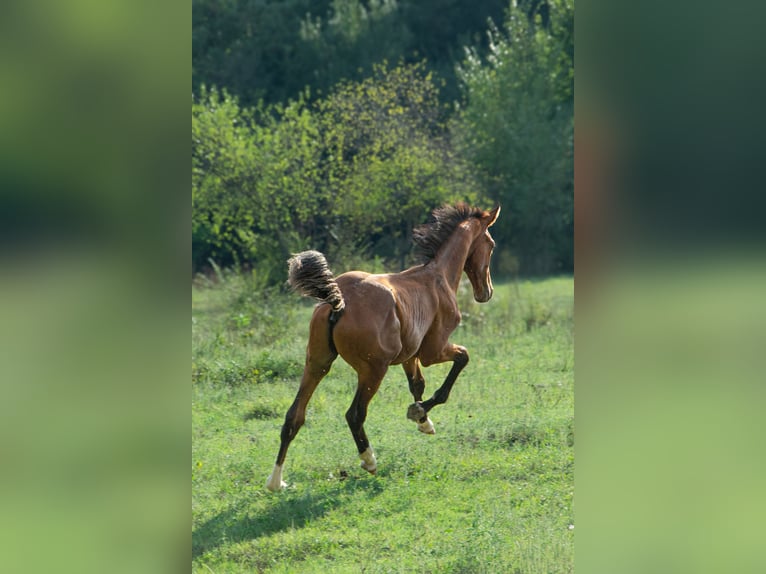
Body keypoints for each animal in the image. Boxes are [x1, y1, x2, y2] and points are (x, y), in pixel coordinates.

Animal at [268, 202, 500, 490]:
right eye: (491, 244)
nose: (486, 292)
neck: (438, 277)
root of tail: (337, 301)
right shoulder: (432, 351)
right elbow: (461, 361)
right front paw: (418, 412)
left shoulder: (409, 356)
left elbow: (417, 384)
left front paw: (424, 422)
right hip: (373, 370)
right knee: (354, 414)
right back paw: (369, 461)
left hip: (317, 364)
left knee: (294, 416)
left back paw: (276, 481)